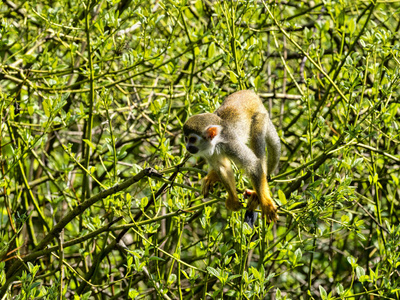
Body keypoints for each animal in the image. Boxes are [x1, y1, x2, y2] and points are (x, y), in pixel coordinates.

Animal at [183, 90, 280, 224]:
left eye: (192, 139)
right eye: (186, 139)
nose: (187, 147)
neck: (217, 141)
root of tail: (251, 93)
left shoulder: (230, 144)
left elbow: (254, 164)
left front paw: (266, 203)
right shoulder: (208, 150)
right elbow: (222, 167)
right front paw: (233, 199)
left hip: (260, 116)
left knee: (257, 142)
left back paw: (257, 194)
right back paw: (212, 176)